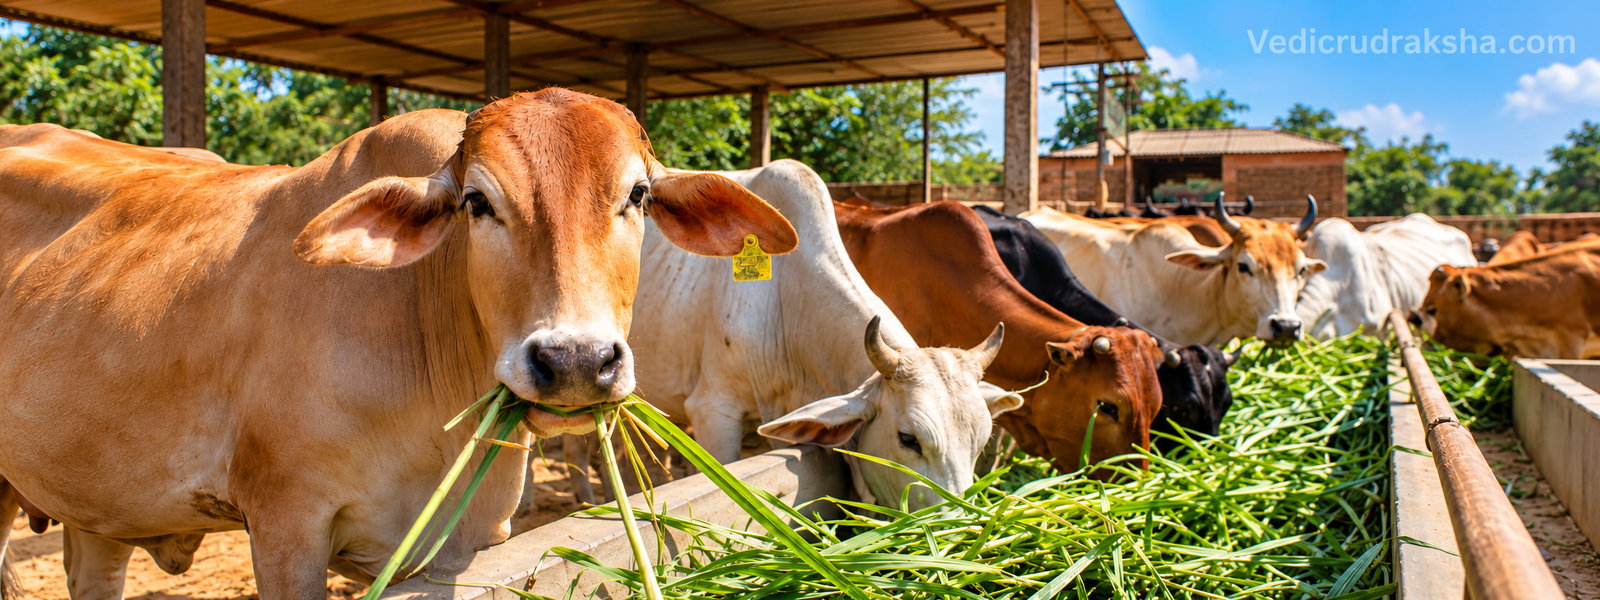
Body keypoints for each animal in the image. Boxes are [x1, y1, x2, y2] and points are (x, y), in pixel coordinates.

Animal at [0, 89, 798, 600]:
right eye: (477, 202)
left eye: (637, 195)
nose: (575, 361)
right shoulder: (286, 525)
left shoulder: (470, 540)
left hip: (95, 502)